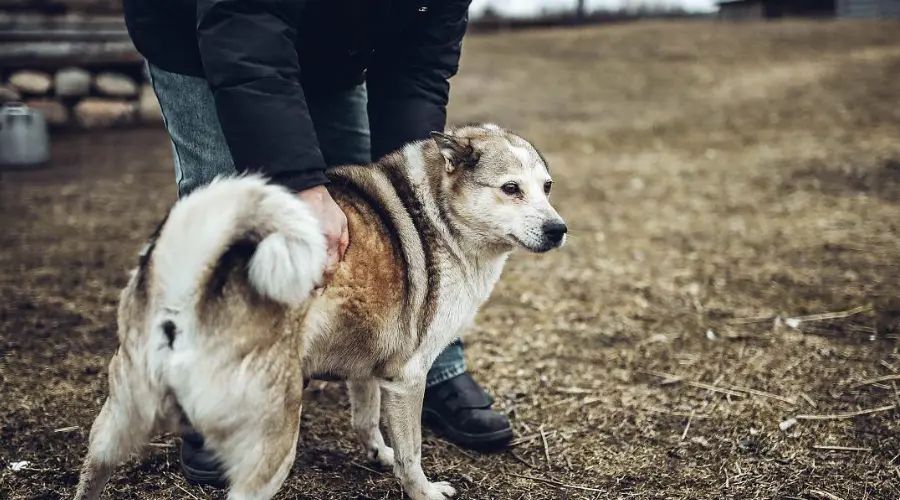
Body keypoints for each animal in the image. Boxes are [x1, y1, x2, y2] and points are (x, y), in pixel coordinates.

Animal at [75, 122, 568, 500]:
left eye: (546, 187)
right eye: (510, 189)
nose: (559, 230)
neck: (439, 216)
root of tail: (190, 287)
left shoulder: (369, 370)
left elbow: (366, 421)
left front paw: (379, 455)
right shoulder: (407, 378)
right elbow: (412, 453)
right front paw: (424, 491)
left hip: (116, 423)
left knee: (91, 473)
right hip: (274, 443)